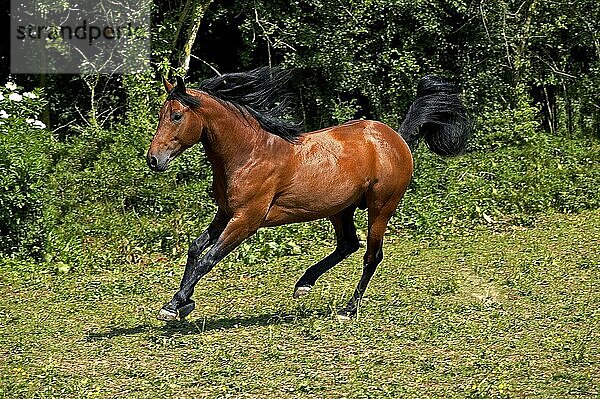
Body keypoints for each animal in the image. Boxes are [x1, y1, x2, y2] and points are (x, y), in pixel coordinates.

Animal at [148, 66, 472, 322]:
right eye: (161, 114)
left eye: (176, 115)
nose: (153, 160)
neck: (249, 153)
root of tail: (397, 139)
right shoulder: (226, 212)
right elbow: (195, 249)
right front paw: (181, 301)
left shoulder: (247, 219)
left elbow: (209, 258)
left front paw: (174, 305)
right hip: (340, 209)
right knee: (348, 245)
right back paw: (304, 283)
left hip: (381, 207)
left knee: (371, 254)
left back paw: (348, 309)